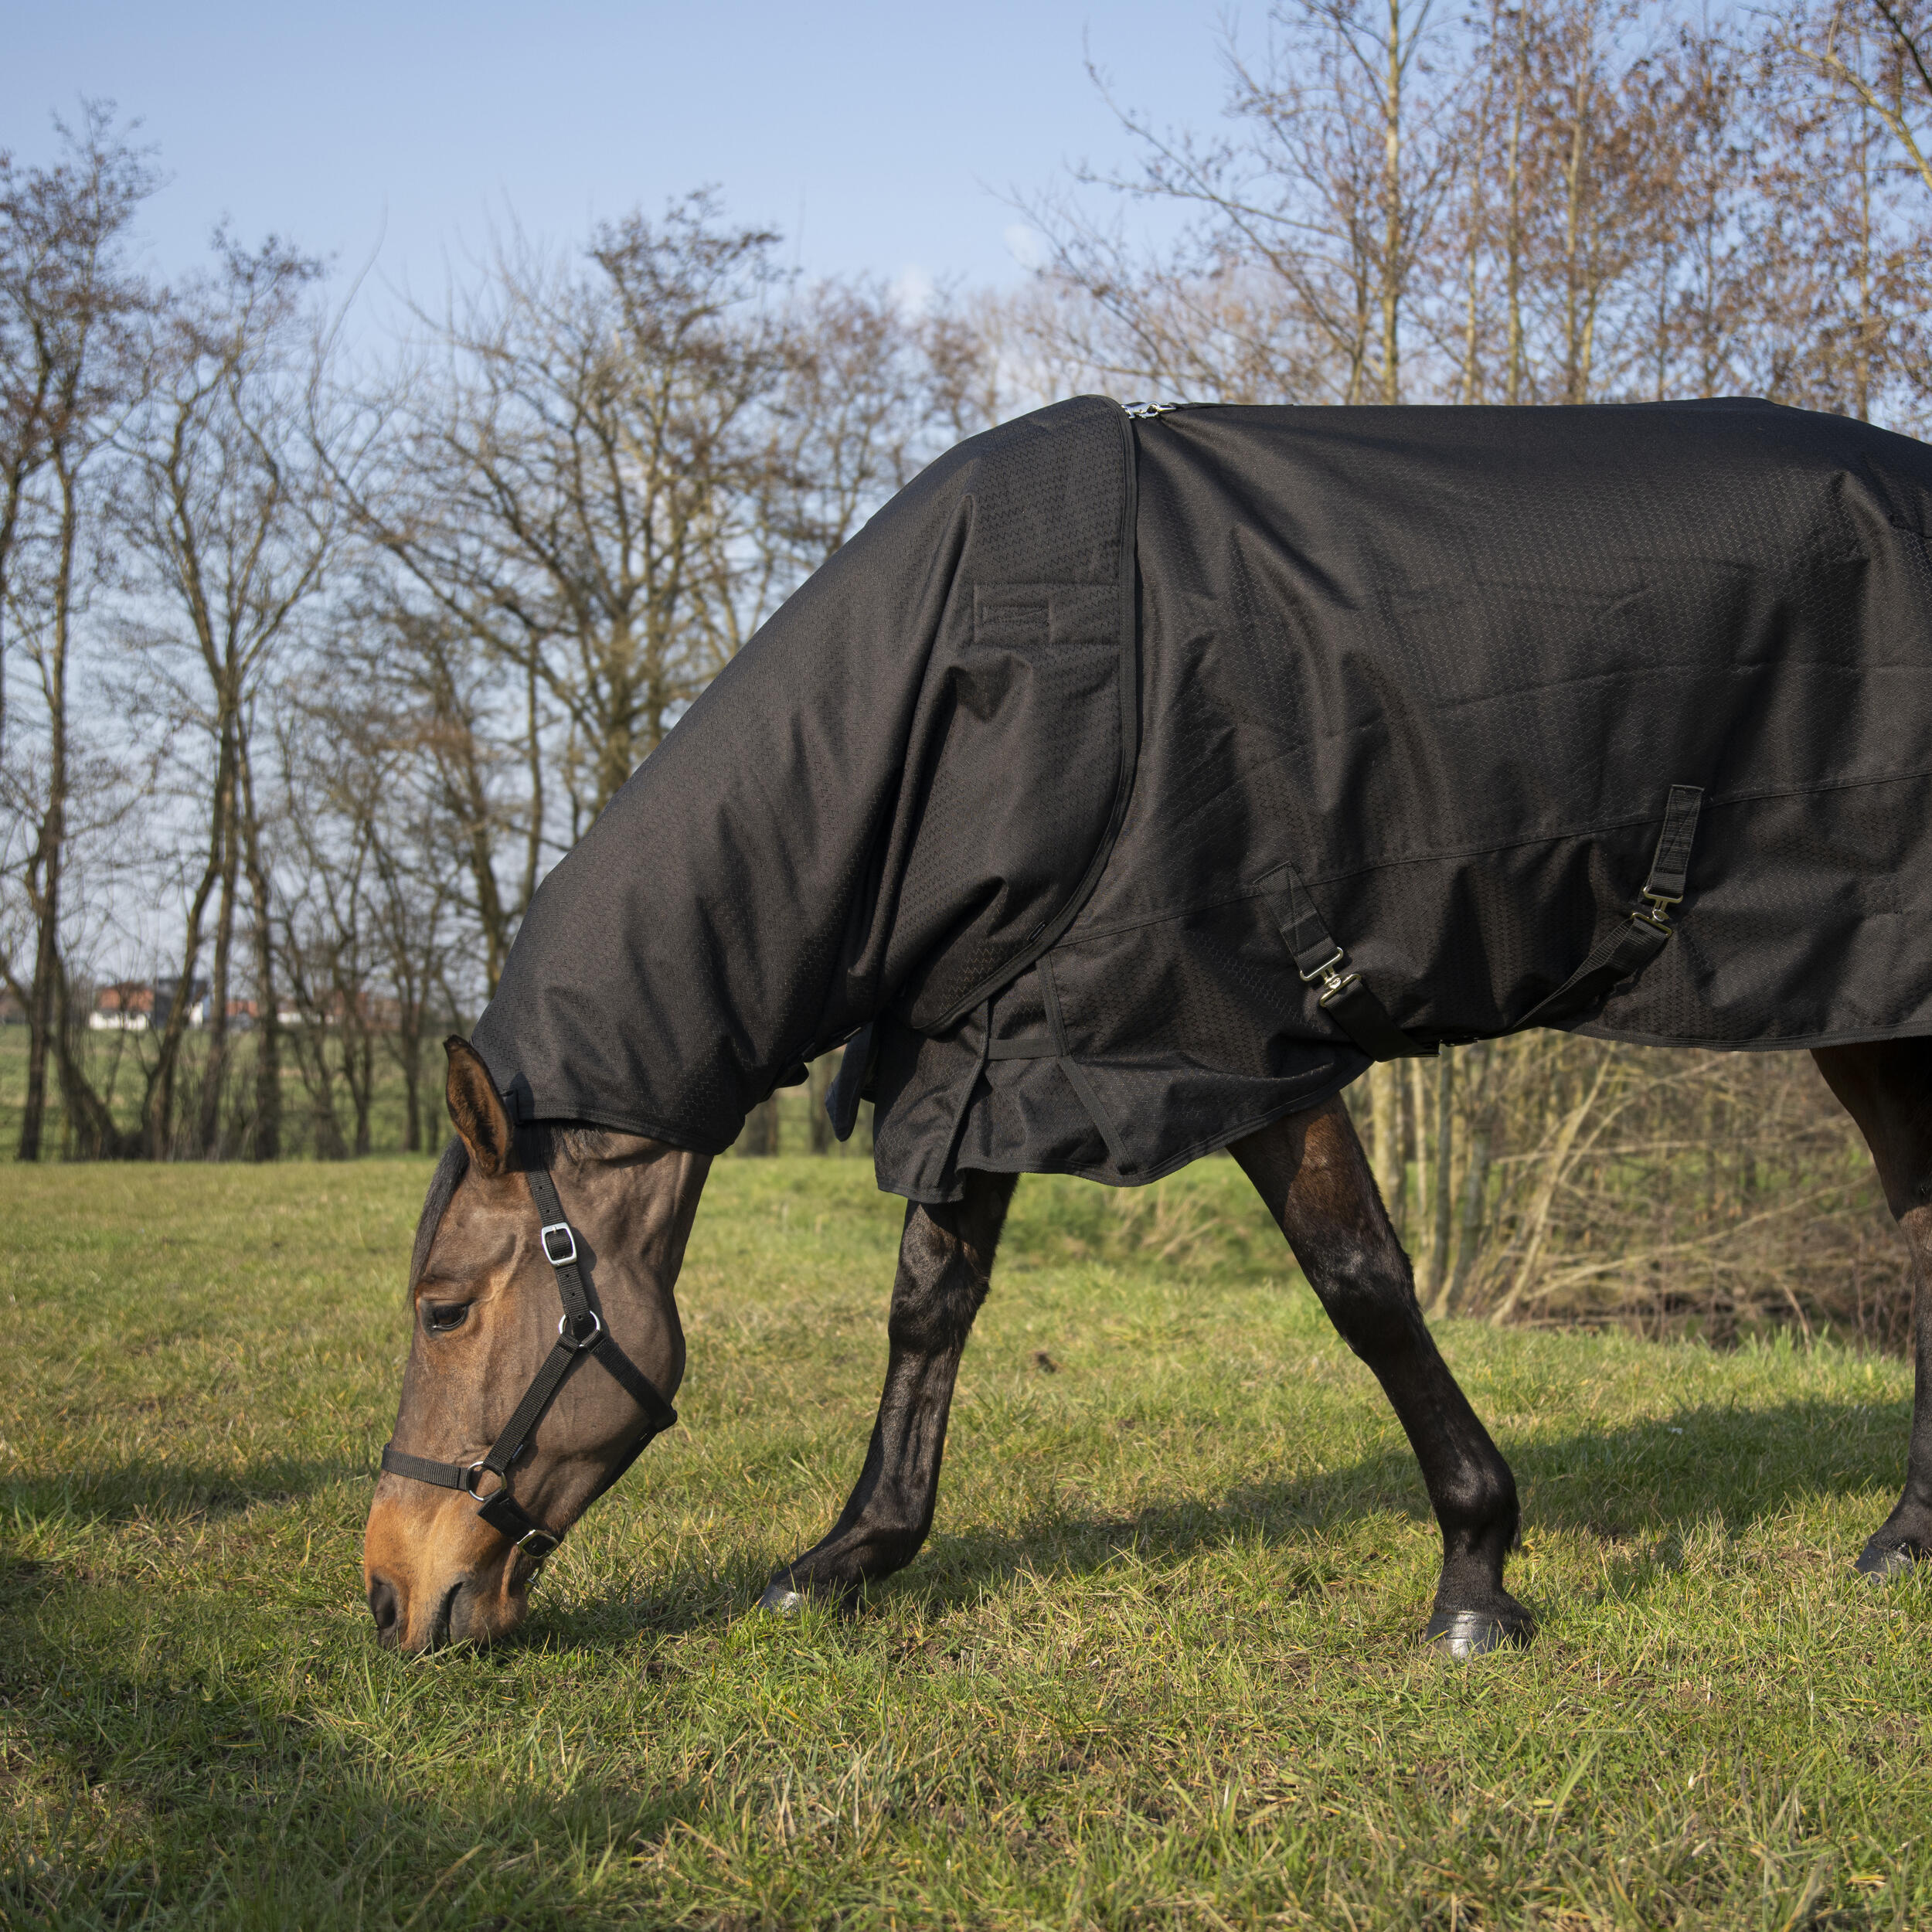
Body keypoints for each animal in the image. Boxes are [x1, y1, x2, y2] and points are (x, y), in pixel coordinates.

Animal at [364, 397, 1932, 1656]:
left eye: (443, 1306)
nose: (390, 1596)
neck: (971, 698)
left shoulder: (1230, 1044)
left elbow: (1362, 1287)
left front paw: (1476, 1576)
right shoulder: (994, 1044)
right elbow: (929, 1304)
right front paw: (848, 1558)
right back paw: (1905, 1538)